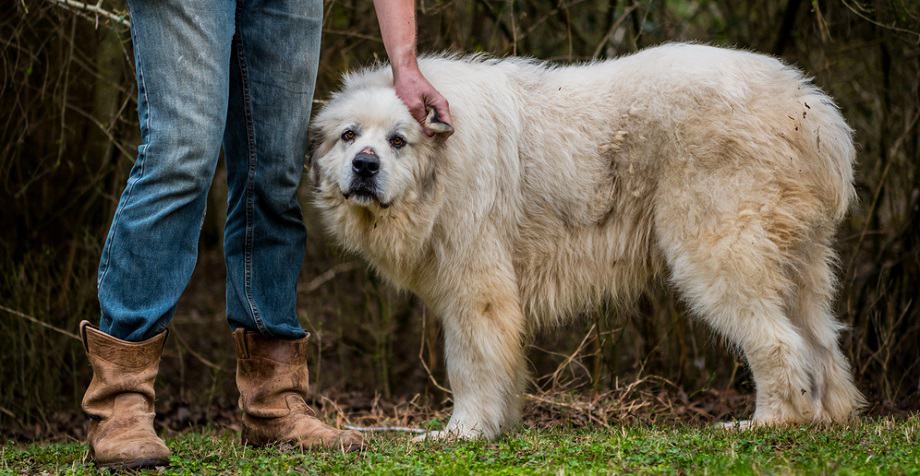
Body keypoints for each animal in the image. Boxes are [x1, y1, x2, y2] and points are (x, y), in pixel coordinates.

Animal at [312, 43, 868, 438]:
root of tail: (813, 110)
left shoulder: (477, 290)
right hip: (798, 263)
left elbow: (470, 364)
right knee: (820, 343)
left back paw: (769, 422)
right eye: (349, 135)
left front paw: (462, 432)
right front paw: (497, 425)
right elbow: (501, 365)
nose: (365, 165)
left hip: (715, 253)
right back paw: (827, 417)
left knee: (778, 342)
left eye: (397, 141)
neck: (440, 166)